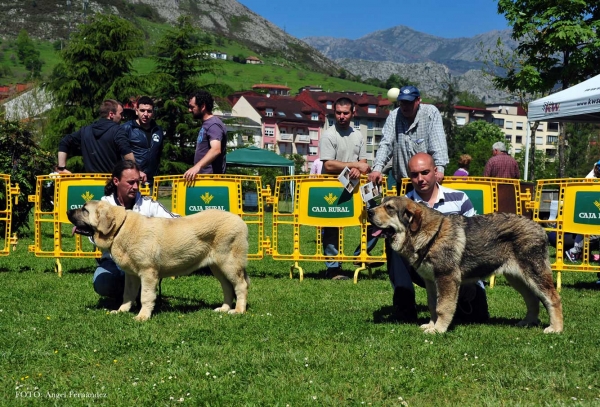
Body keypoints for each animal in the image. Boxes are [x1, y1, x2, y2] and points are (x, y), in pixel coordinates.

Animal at [67, 201, 248, 322]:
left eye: (84, 210)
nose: (68, 211)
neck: (119, 228)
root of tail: (240, 221)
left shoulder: (148, 273)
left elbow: (146, 296)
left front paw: (142, 316)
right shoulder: (131, 275)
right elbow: (128, 293)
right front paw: (122, 310)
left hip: (229, 263)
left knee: (241, 285)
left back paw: (238, 310)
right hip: (217, 267)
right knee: (227, 287)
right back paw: (224, 308)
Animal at [368, 197, 564, 334]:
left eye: (389, 208)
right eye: (381, 203)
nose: (368, 211)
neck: (429, 235)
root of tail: (539, 228)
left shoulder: (447, 278)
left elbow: (443, 307)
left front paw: (438, 329)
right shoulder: (431, 281)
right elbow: (433, 305)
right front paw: (431, 325)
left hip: (535, 274)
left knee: (552, 298)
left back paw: (556, 328)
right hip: (517, 278)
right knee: (532, 299)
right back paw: (528, 322)